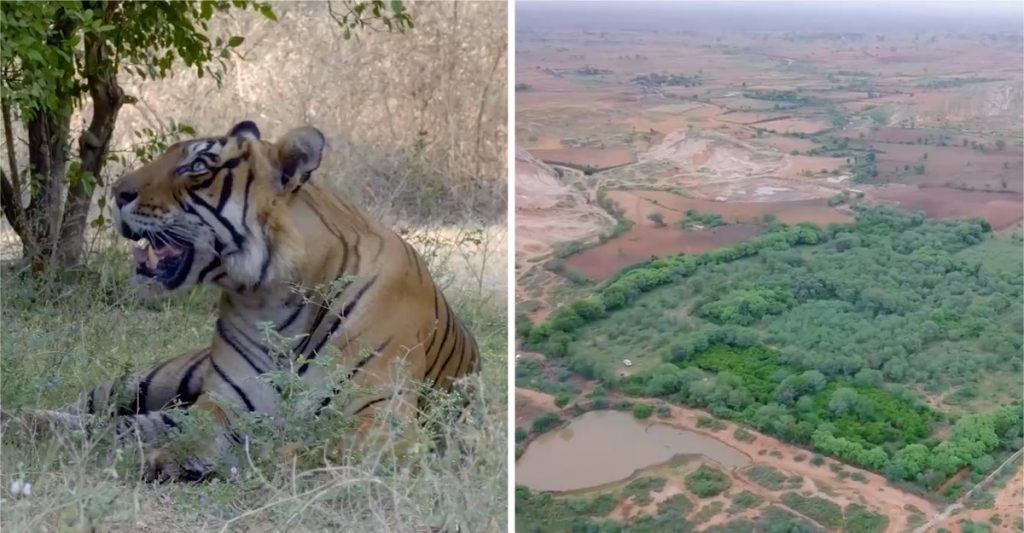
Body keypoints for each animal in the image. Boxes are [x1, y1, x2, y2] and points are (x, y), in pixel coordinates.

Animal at [12, 120, 481, 481]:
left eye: (197, 166)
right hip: (149, 379)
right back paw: (23, 421)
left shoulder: (382, 418)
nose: (115, 192)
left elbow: (317, 449)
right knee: (100, 414)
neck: (272, 298)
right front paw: (183, 460)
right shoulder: (223, 403)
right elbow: (191, 433)